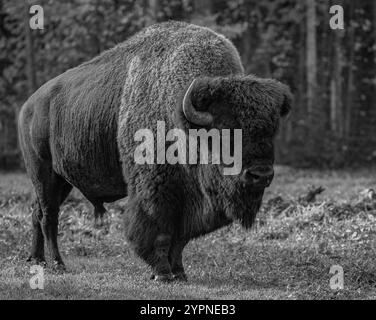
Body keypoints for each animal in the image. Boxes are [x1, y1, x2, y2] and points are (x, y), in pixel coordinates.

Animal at [19, 21, 292, 282]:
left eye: (271, 131)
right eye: (224, 130)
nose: (261, 175)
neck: (181, 120)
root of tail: (28, 105)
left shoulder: (186, 201)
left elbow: (180, 239)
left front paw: (179, 272)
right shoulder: (156, 192)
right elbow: (160, 232)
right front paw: (162, 273)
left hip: (62, 180)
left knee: (37, 213)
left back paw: (36, 260)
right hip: (43, 173)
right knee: (49, 217)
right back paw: (58, 264)